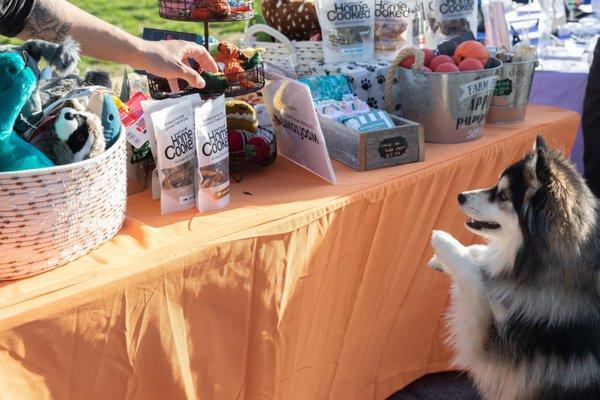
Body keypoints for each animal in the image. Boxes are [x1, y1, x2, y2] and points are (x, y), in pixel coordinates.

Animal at [428, 136, 600, 398]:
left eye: (502, 196)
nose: (460, 196)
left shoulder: (495, 349)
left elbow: (475, 280)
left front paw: (445, 242)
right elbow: (486, 260)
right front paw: (447, 259)